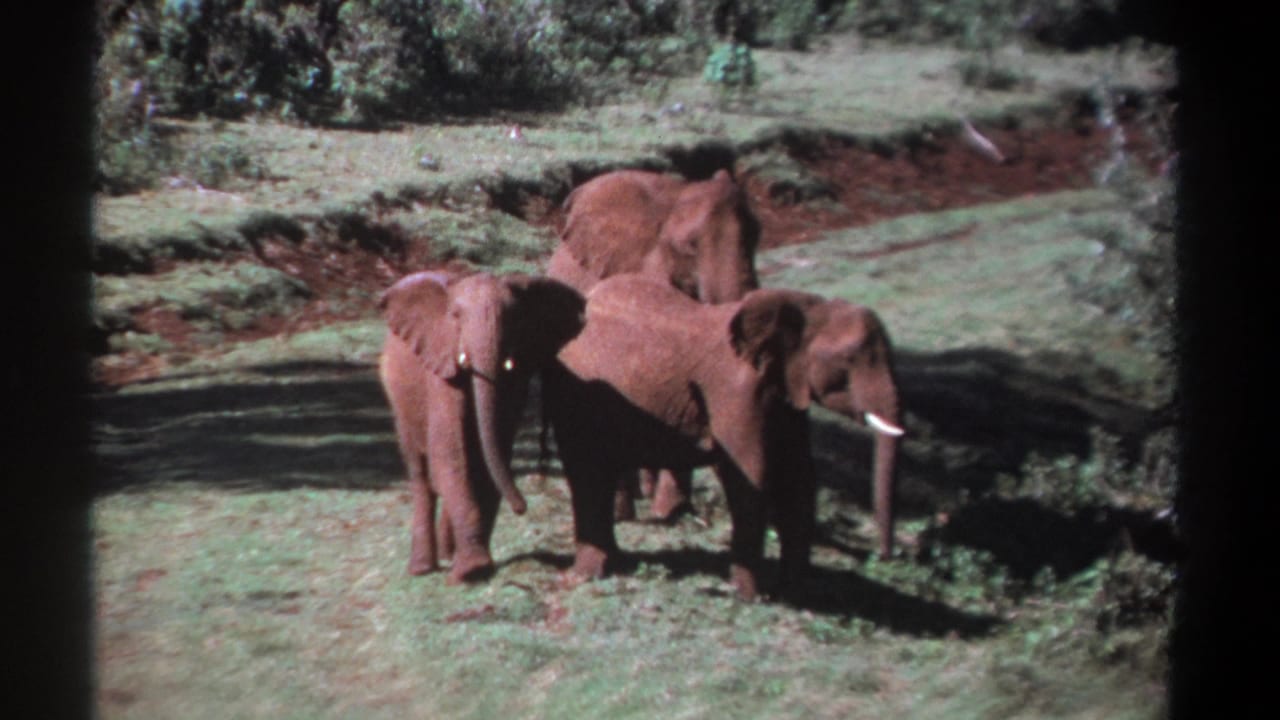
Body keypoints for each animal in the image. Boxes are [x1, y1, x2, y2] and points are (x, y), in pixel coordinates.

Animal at [378, 271, 585, 584]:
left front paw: (475, 566)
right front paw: (472, 570)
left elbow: (489, 459)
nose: (522, 507)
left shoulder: (516, 378)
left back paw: (448, 555)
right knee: (421, 473)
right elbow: (449, 459)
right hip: (401, 405)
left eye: (515, 318)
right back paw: (423, 568)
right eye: (455, 316)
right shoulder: (441, 367)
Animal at [542, 275, 904, 601]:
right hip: (575, 394)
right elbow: (751, 478)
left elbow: (799, 478)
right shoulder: (735, 391)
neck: (804, 307)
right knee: (588, 472)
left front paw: (797, 592)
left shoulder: (785, 395)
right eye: (849, 360)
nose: (887, 556)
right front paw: (751, 598)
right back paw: (591, 573)